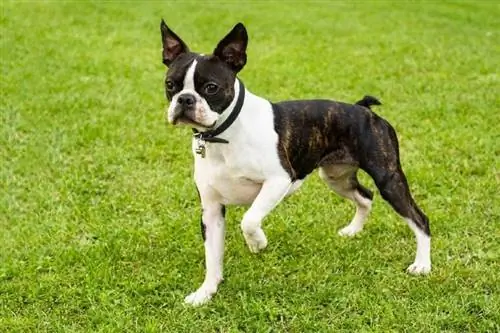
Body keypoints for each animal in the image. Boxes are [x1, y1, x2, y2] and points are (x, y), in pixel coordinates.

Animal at [159, 20, 430, 304]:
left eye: (211, 87)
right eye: (170, 85)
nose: (185, 99)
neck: (223, 135)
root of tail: (364, 109)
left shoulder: (279, 180)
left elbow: (249, 219)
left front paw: (257, 243)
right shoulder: (211, 210)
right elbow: (212, 258)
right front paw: (205, 293)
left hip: (388, 178)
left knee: (419, 219)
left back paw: (422, 265)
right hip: (336, 177)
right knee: (365, 196)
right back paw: (353, 230)